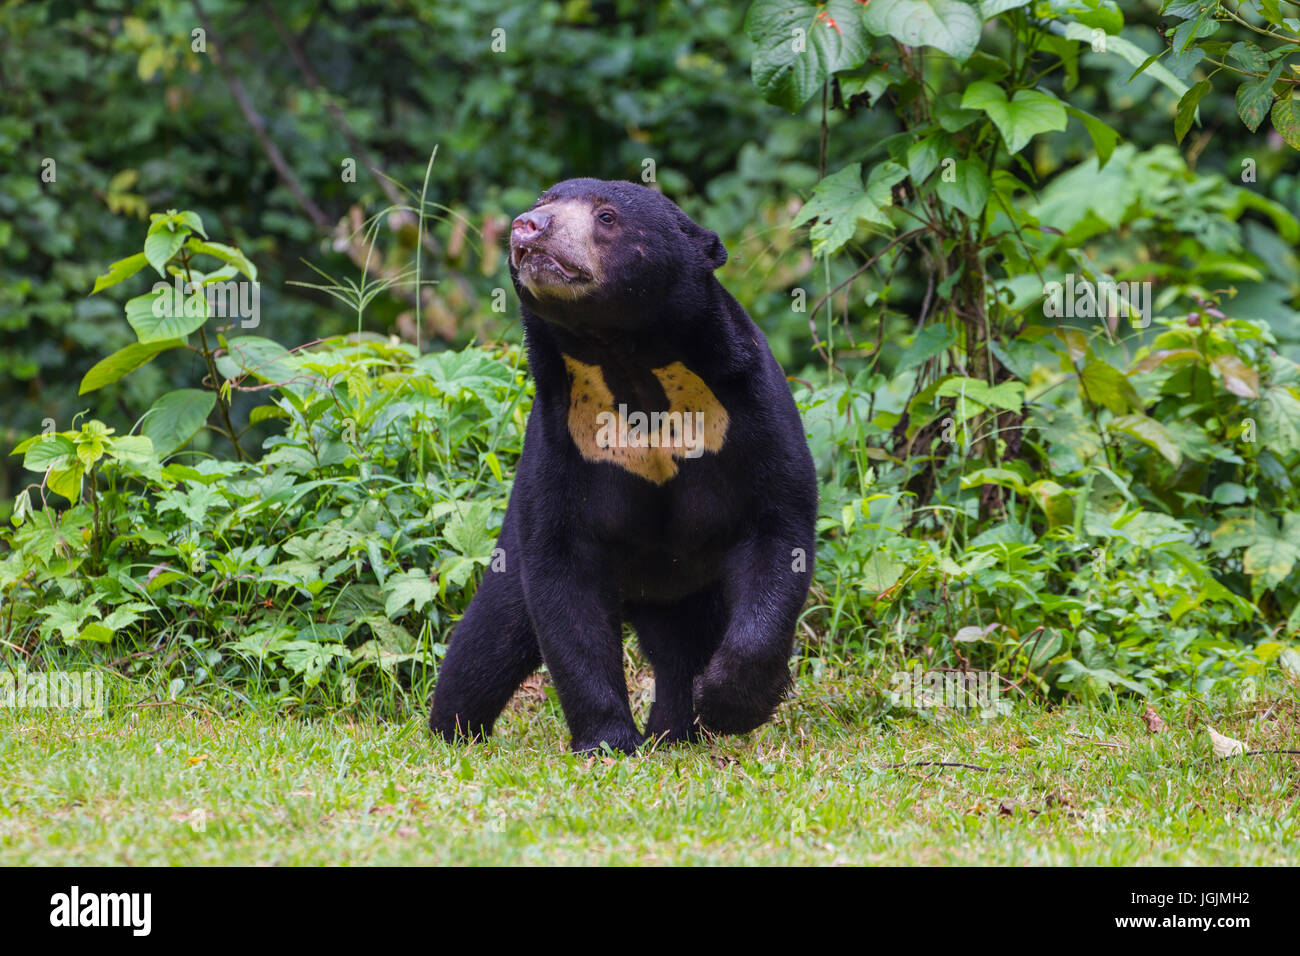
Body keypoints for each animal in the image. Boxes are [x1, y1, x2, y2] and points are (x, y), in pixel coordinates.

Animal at [429, 178, 817, 754]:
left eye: (607, 217)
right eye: (542, 203)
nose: (527, 227)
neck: (626, 358)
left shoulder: (752, 412)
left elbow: (777, 531)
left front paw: (729, 704)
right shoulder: (561, 441)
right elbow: (565, 583)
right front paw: (607, 741)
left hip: (683, 592)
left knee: (681, 649)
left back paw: (677, 730)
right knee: (487, 639)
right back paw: (453, 730)